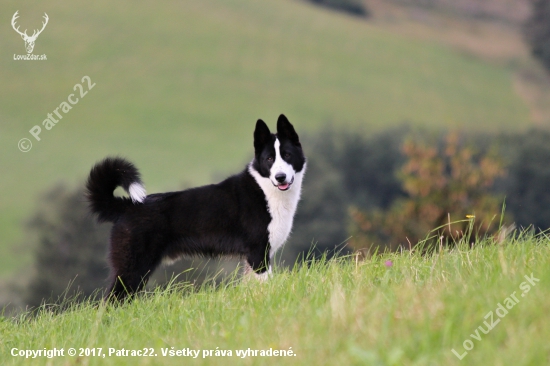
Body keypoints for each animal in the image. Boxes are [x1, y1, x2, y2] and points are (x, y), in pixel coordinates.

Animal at [88, 114, 308, 300]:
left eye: (287, 155)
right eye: (269, 159)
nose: (280, 177)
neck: (265, 189)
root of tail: (127, 206)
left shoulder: (255, 258)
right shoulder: (258, 255)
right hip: (133, 268)